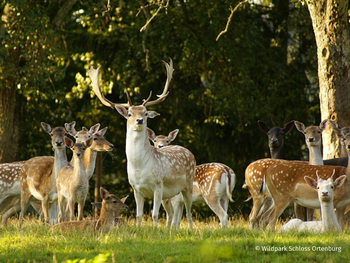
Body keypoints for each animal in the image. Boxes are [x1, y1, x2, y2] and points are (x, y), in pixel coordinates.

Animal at [87, 59, 197, 229]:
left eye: (145, 113)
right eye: (129, 113)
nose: (139, 120)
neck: (140, 166)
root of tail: (188, 152)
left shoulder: (158, 185)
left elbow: (154, 214)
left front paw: (155, 230)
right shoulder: (135, 188)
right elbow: (139, 215)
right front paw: (139, 230)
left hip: (188, 184)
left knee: (189, 212)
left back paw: (190, 229)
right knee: (174, 212)